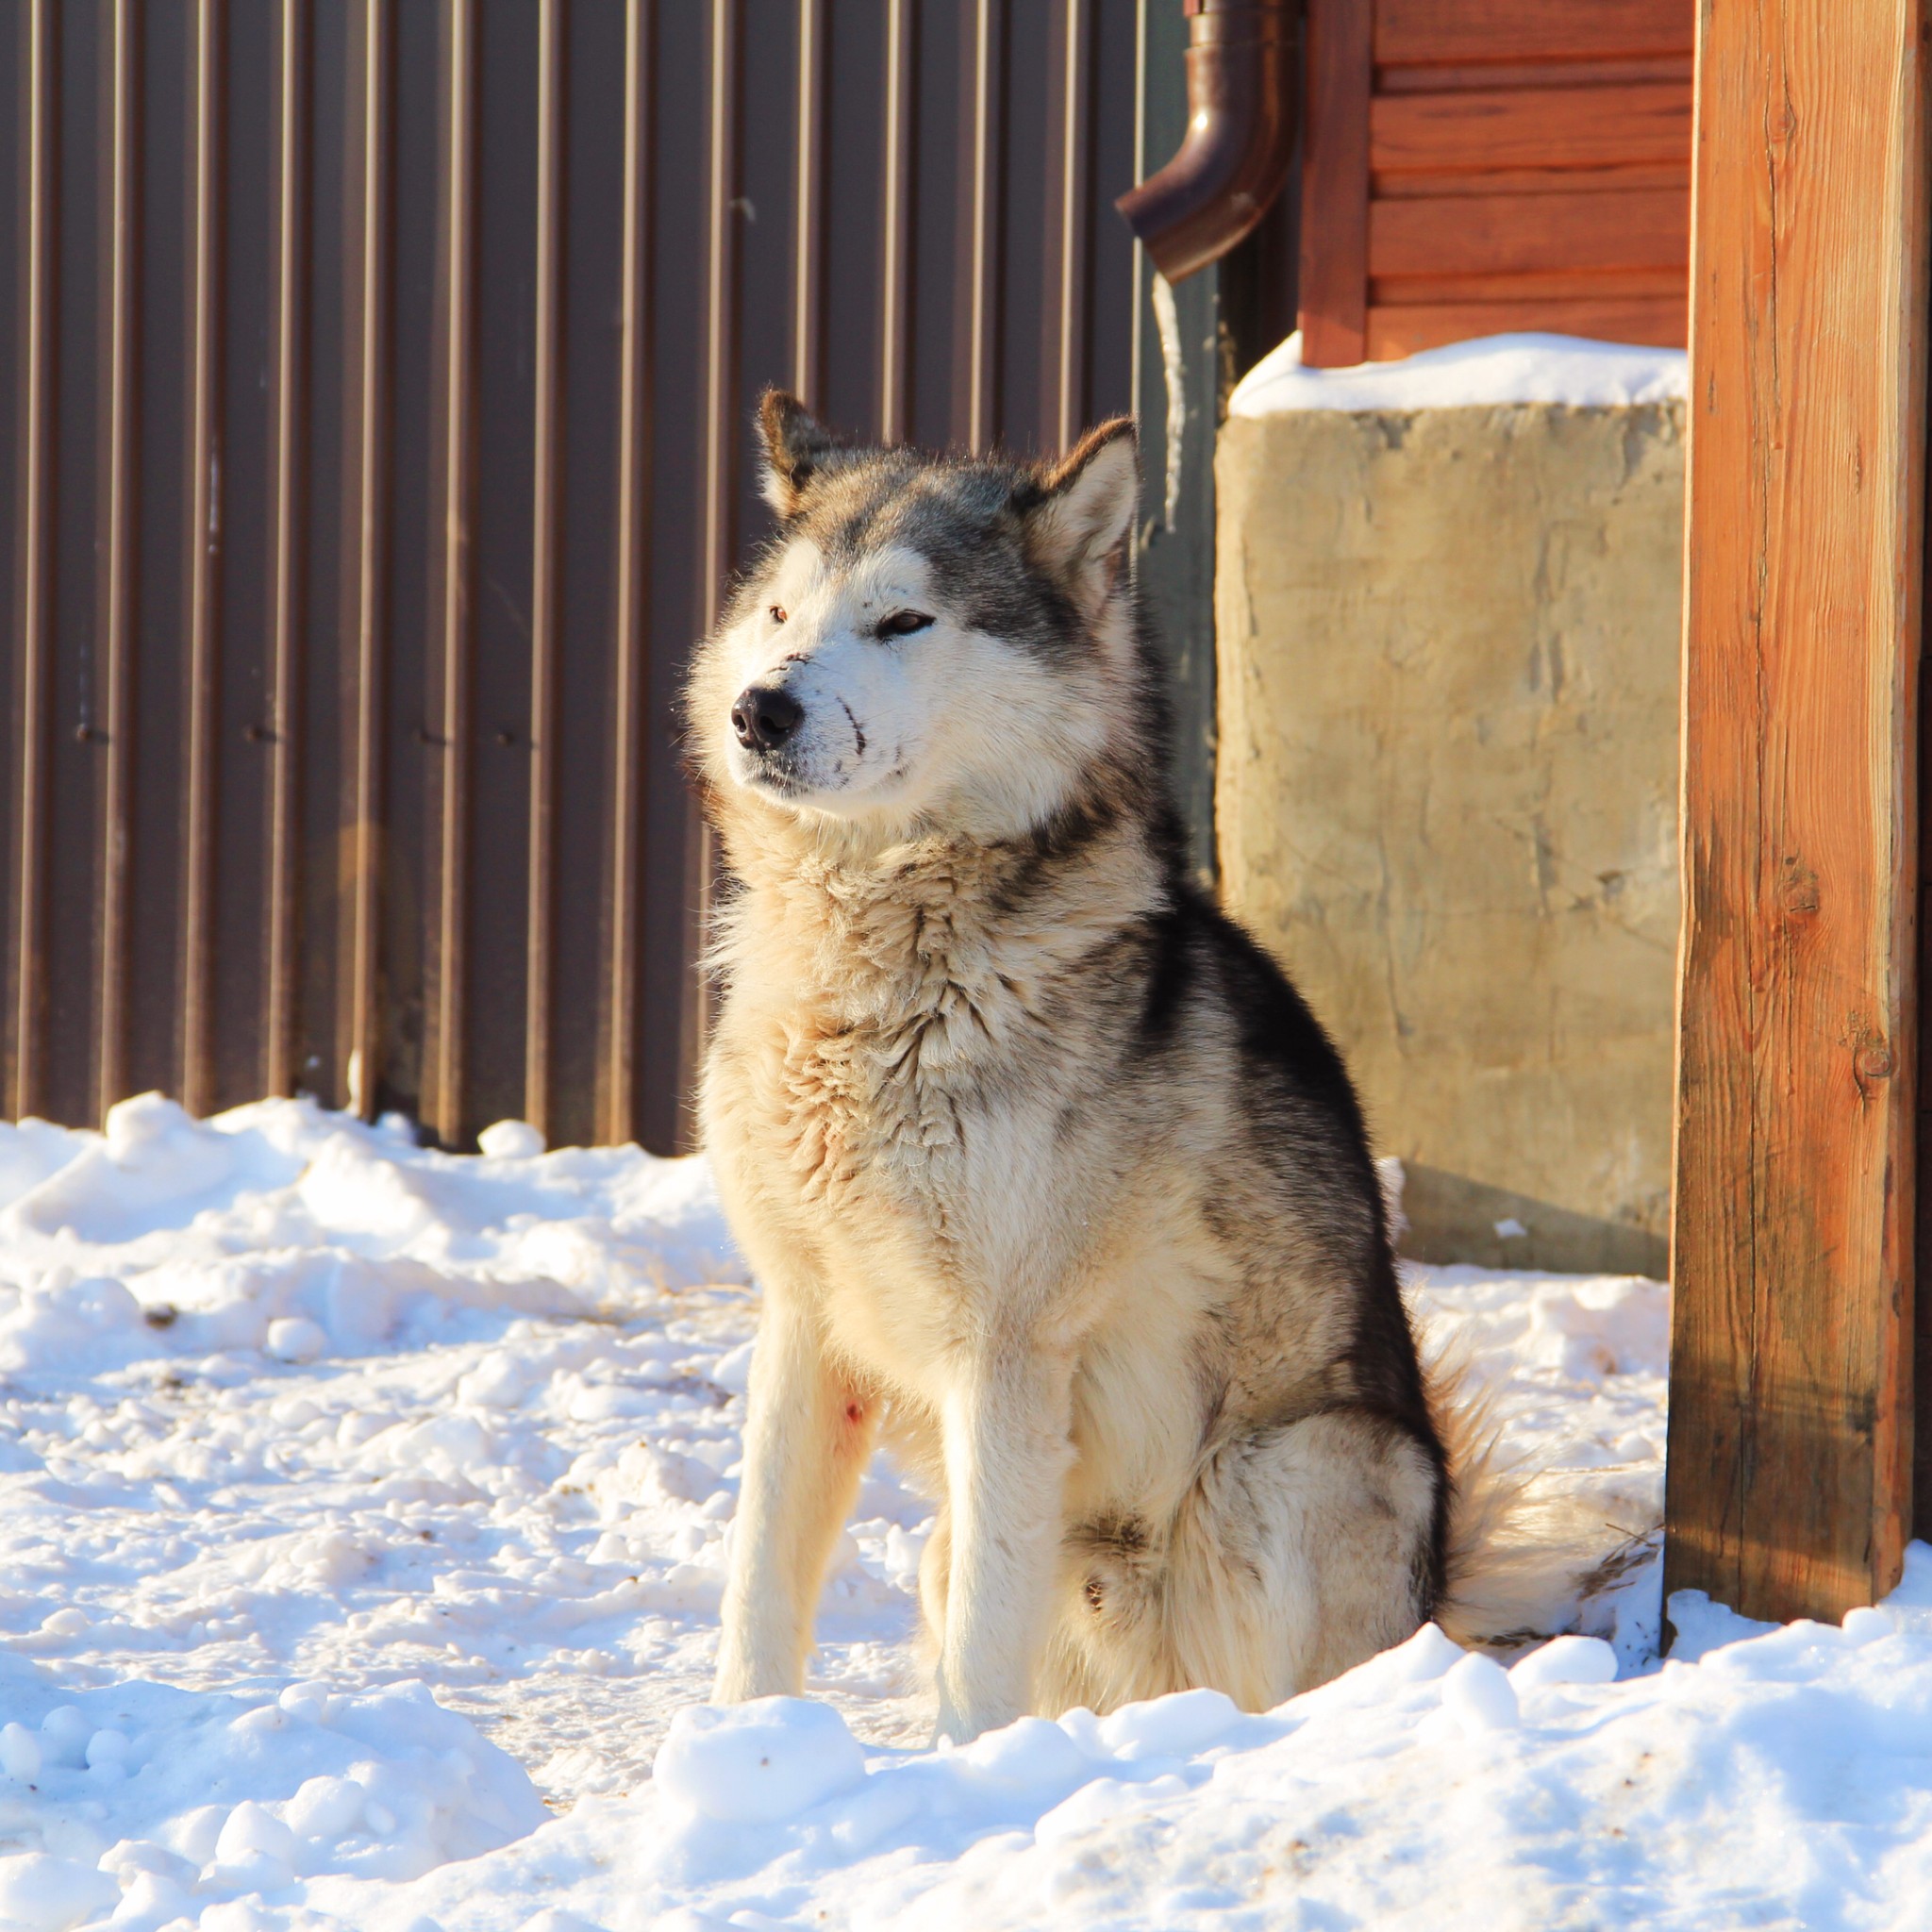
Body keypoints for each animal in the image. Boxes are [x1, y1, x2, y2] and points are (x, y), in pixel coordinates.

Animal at [695, 395, 1491, 1754]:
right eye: (783, 614)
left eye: (904, 621)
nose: (760, 710)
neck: (877, 971)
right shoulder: (807, 1324)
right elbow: (754, 1593)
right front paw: (735, 1755)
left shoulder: (1008, 1356)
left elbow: (980, 1653)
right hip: (975, 1545)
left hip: (1293, 1470)